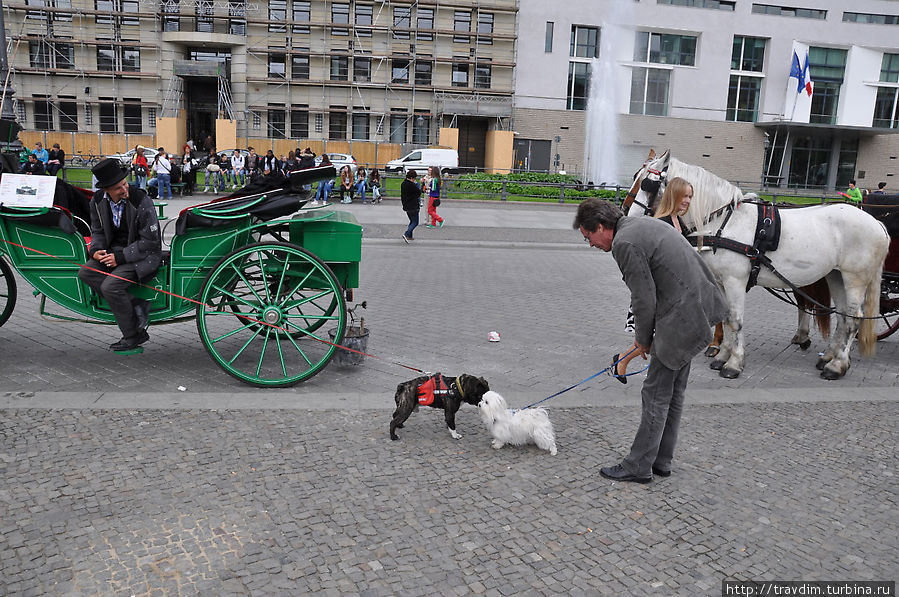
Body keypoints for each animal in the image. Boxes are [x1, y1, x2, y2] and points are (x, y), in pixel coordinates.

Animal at [628, 151, 888, 380]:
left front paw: (733, 363)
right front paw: (722, 356)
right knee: (843, 316)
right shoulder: (721, 282)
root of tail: (876, 223)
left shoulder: (735, 281)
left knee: (853, 319)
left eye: (647, 185)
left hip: (855, 278)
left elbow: (735, 320)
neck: (724, 221)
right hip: (836, 276)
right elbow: (726, 319)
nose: (629, 217)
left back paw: (837, 366)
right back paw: (829, 358)